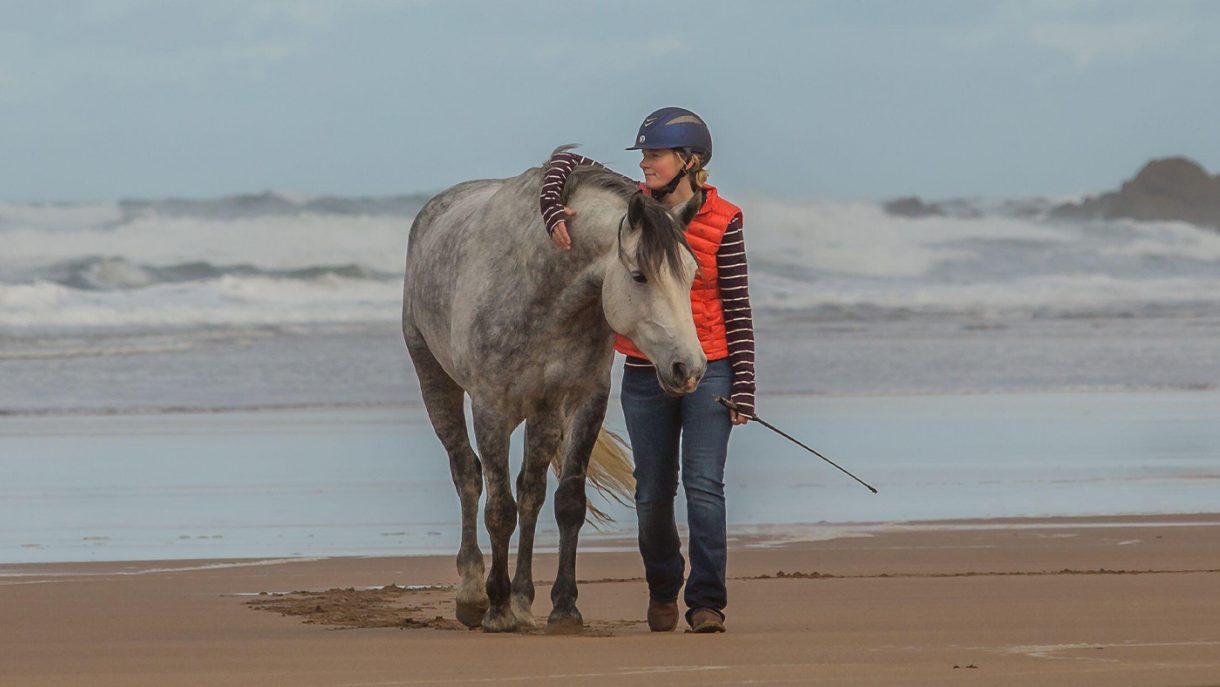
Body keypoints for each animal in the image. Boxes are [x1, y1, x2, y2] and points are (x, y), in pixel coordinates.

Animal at [401, 149, 708, 633]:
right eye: (639, 276)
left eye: (693, 274)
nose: (689, 368)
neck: (541, 286)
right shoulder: (492, 408)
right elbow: (499, 509)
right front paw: (496, 607)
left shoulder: (583, 401)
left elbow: (566, 503)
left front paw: (562, 607)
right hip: (436, 380)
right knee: (468, 476)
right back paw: (473, 593)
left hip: (543, 413)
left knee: (531, 492)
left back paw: (524, 599)